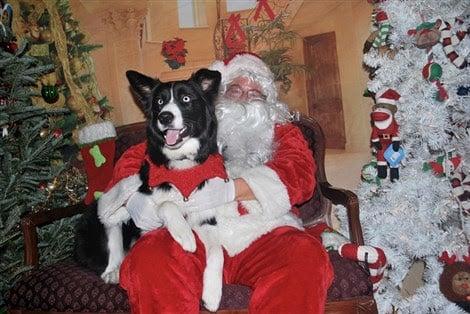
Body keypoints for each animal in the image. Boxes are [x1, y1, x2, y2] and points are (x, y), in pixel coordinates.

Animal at [74, 67, 227, 310]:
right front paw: (184, 235)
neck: (182, 163)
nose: (165, 116)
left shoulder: (205, 215)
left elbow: (217, 250)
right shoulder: (143, 204)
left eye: (186, 99)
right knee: (113, 235)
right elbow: (166, 204)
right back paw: (113, 270)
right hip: (103, 210)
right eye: (160, 102)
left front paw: (212, 294)